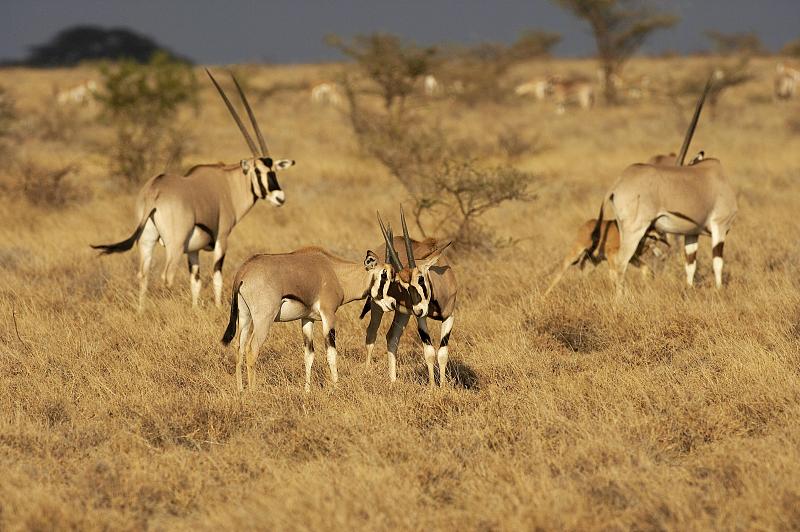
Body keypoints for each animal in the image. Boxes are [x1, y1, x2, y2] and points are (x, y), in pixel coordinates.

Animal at [220, 245, 396, 390]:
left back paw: (241, 390)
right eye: (384, 275)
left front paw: (307, 390)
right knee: (251, 349)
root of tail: (244, 270)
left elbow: (309, 355)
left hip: (244, 318)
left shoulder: (307, 319)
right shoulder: (328, 315)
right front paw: (335, 387)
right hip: (263, 320)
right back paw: (253, 391)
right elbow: (331, 353)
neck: (335, 271)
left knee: (239, 347)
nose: (393, 304)